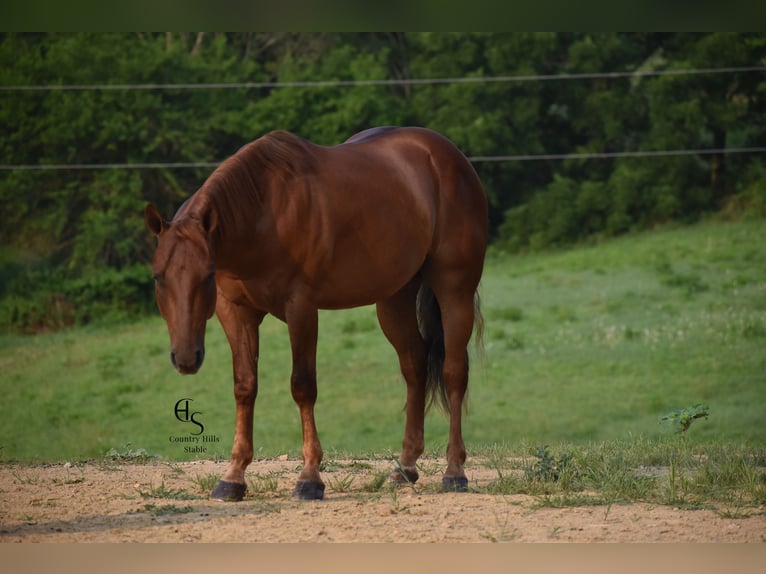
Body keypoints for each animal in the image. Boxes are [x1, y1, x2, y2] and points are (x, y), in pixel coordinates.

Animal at [144, 126, 488, 500]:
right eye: (158, 277)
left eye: (206, 275)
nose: (186, 358)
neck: (263, 212)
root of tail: (447, 155)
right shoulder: (235, 312)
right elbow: (245, 386)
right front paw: (233, 477)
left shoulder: (301, 307)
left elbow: (303, 385)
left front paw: (309, 477)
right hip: (394, 299)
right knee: (415, 367)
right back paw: (405, 467)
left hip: (454, 291)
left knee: (454, 372)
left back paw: (454, 471)